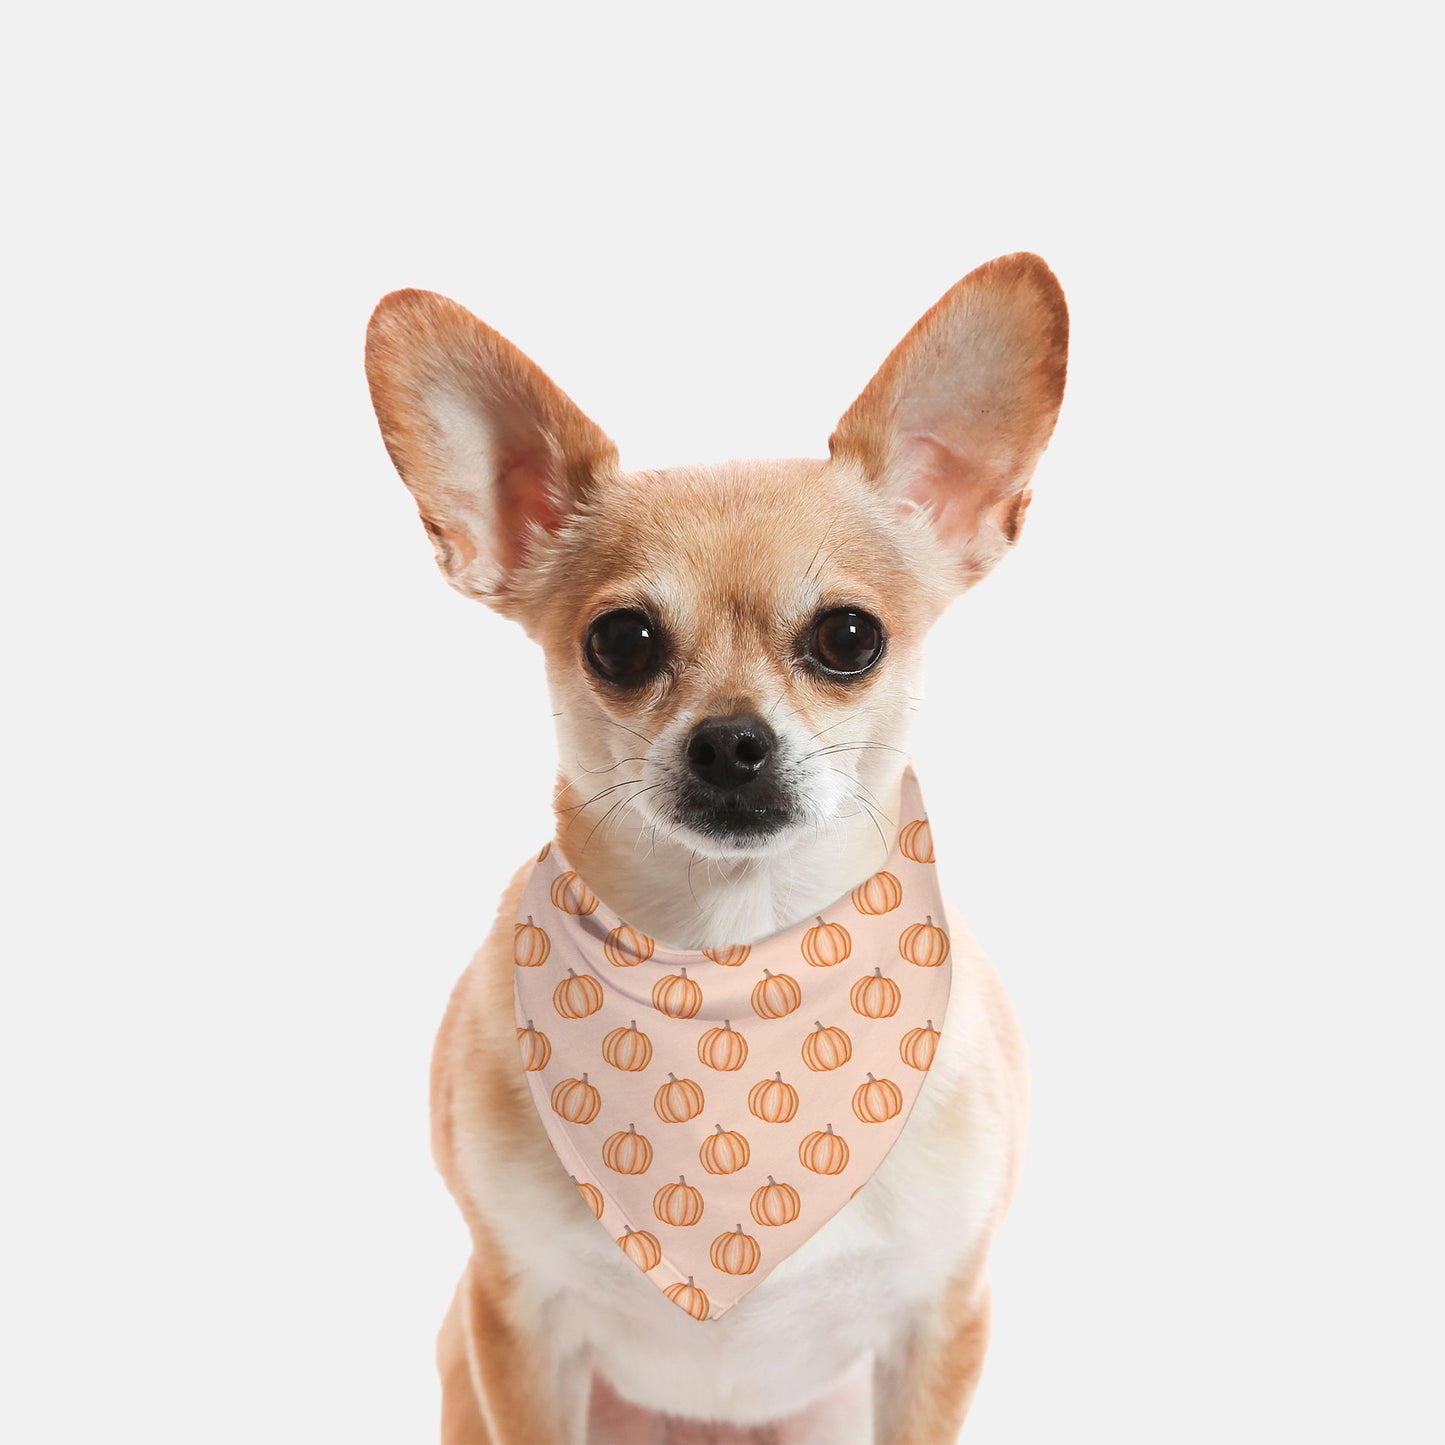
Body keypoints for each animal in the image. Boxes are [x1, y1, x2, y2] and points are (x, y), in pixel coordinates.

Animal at [367, 257, 1069, 1445]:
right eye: (620, 641)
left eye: (847, 637)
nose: (733, 740)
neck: (733, 967)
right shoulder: (514, 1318)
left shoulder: (939, 1317)